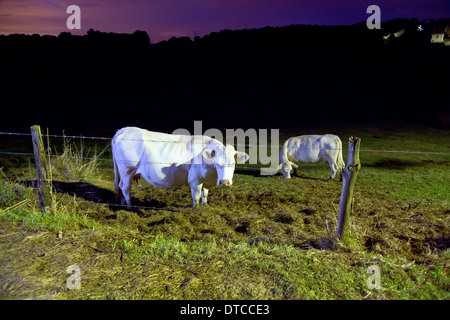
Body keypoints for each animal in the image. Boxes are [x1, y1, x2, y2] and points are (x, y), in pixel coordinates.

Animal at [110, 126, 248, 209]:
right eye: (217, 163)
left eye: (233, 163)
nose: (224, 182)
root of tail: (125, 129)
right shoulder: (195, 180)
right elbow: (196, 197)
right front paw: (197, 211)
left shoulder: (205, 180)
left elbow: (205, 195)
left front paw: (205, 208)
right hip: (127, 170)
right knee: (125, 187)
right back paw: (129, 207)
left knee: (121, 186)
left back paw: (122, 204)